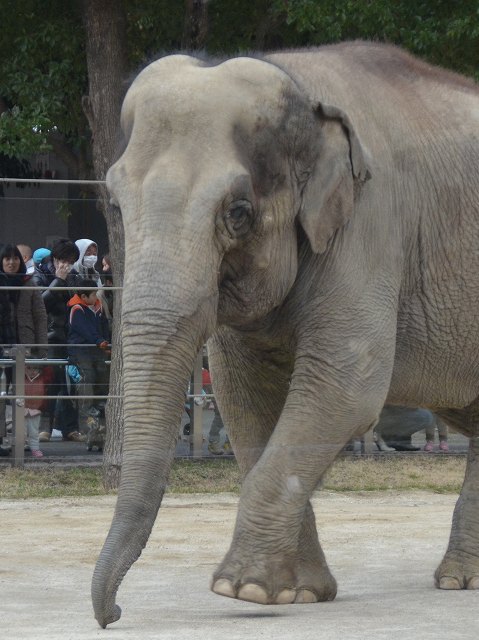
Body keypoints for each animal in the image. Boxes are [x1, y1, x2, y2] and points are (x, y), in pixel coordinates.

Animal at [92, 41, 479, 627]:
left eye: (238, 212)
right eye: (114, 203)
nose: (112, 614)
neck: (298, 81)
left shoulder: (370, 223)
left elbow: (346, 388)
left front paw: (240, 589)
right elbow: (243, 395)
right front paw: (291, 593)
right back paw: (461, 580)